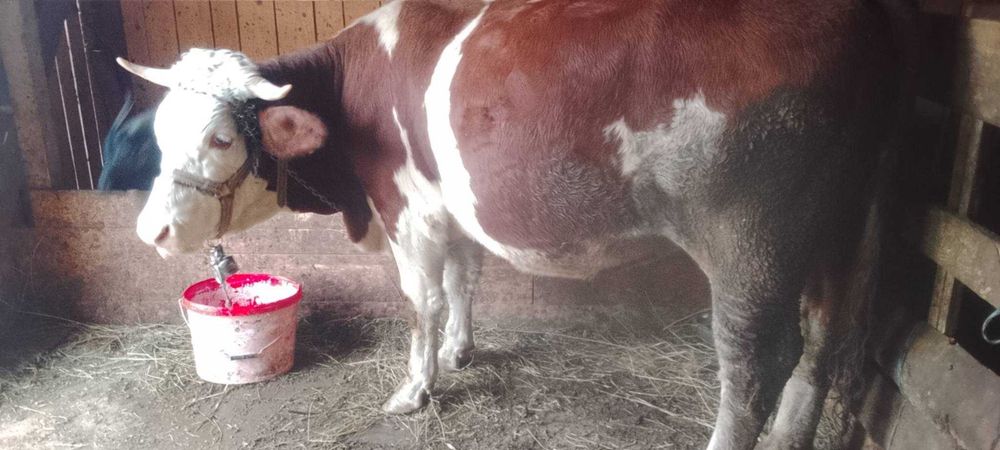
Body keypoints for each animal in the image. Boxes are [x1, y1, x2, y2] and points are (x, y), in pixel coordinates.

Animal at [117, 0, 907, 448]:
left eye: (223, 137)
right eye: (158, 130)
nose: (150, 233)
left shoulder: (407, 211)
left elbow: (422, 304)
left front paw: (416, 388)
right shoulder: (452, 205)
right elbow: (466, 280)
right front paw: (462, 351)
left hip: (750, 239)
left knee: (754, 360)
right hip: (845, 225)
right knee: (828, 343)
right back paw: (789, 438)